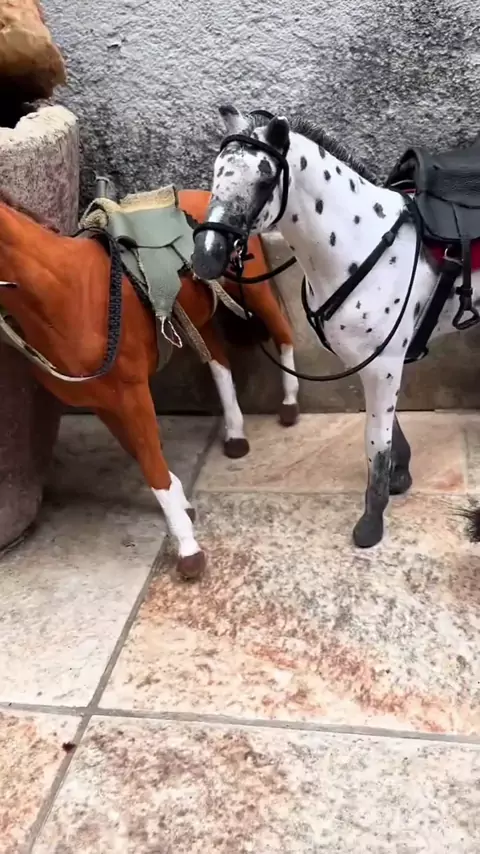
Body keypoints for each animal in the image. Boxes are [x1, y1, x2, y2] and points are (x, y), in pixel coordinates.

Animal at [0, 185, 299, 580]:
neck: (68, 294)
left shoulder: (132, 393)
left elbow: (152, 465)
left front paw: (188, 548)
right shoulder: (103, 402)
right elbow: (144, 455)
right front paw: (182, 506)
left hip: (254, 289)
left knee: (283, 333)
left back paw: (290, 404)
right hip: (200, 315)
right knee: (219, 363)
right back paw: (235, 434)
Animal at [192, 104, 480, 549]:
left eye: (264, 179)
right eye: (216, 172)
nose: (205, 257)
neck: (363, 242)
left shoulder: (384, 364)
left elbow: (375, 438)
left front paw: (372, 519)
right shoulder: (371, 362)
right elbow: (388, 427)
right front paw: (399, 476)